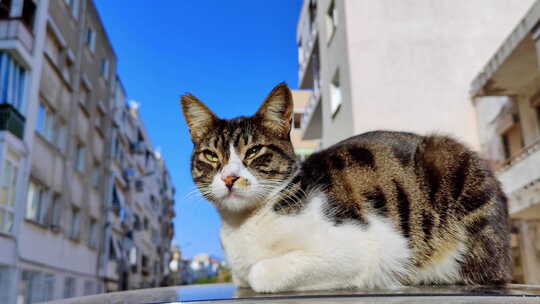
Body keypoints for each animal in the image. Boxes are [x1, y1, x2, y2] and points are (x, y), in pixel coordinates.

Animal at [180, 82, 510, 292]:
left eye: (254, 151)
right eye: (211, 156)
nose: (229, 178)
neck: (242, 225)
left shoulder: (364, 247)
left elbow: (259, 274)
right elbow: (242, 277)